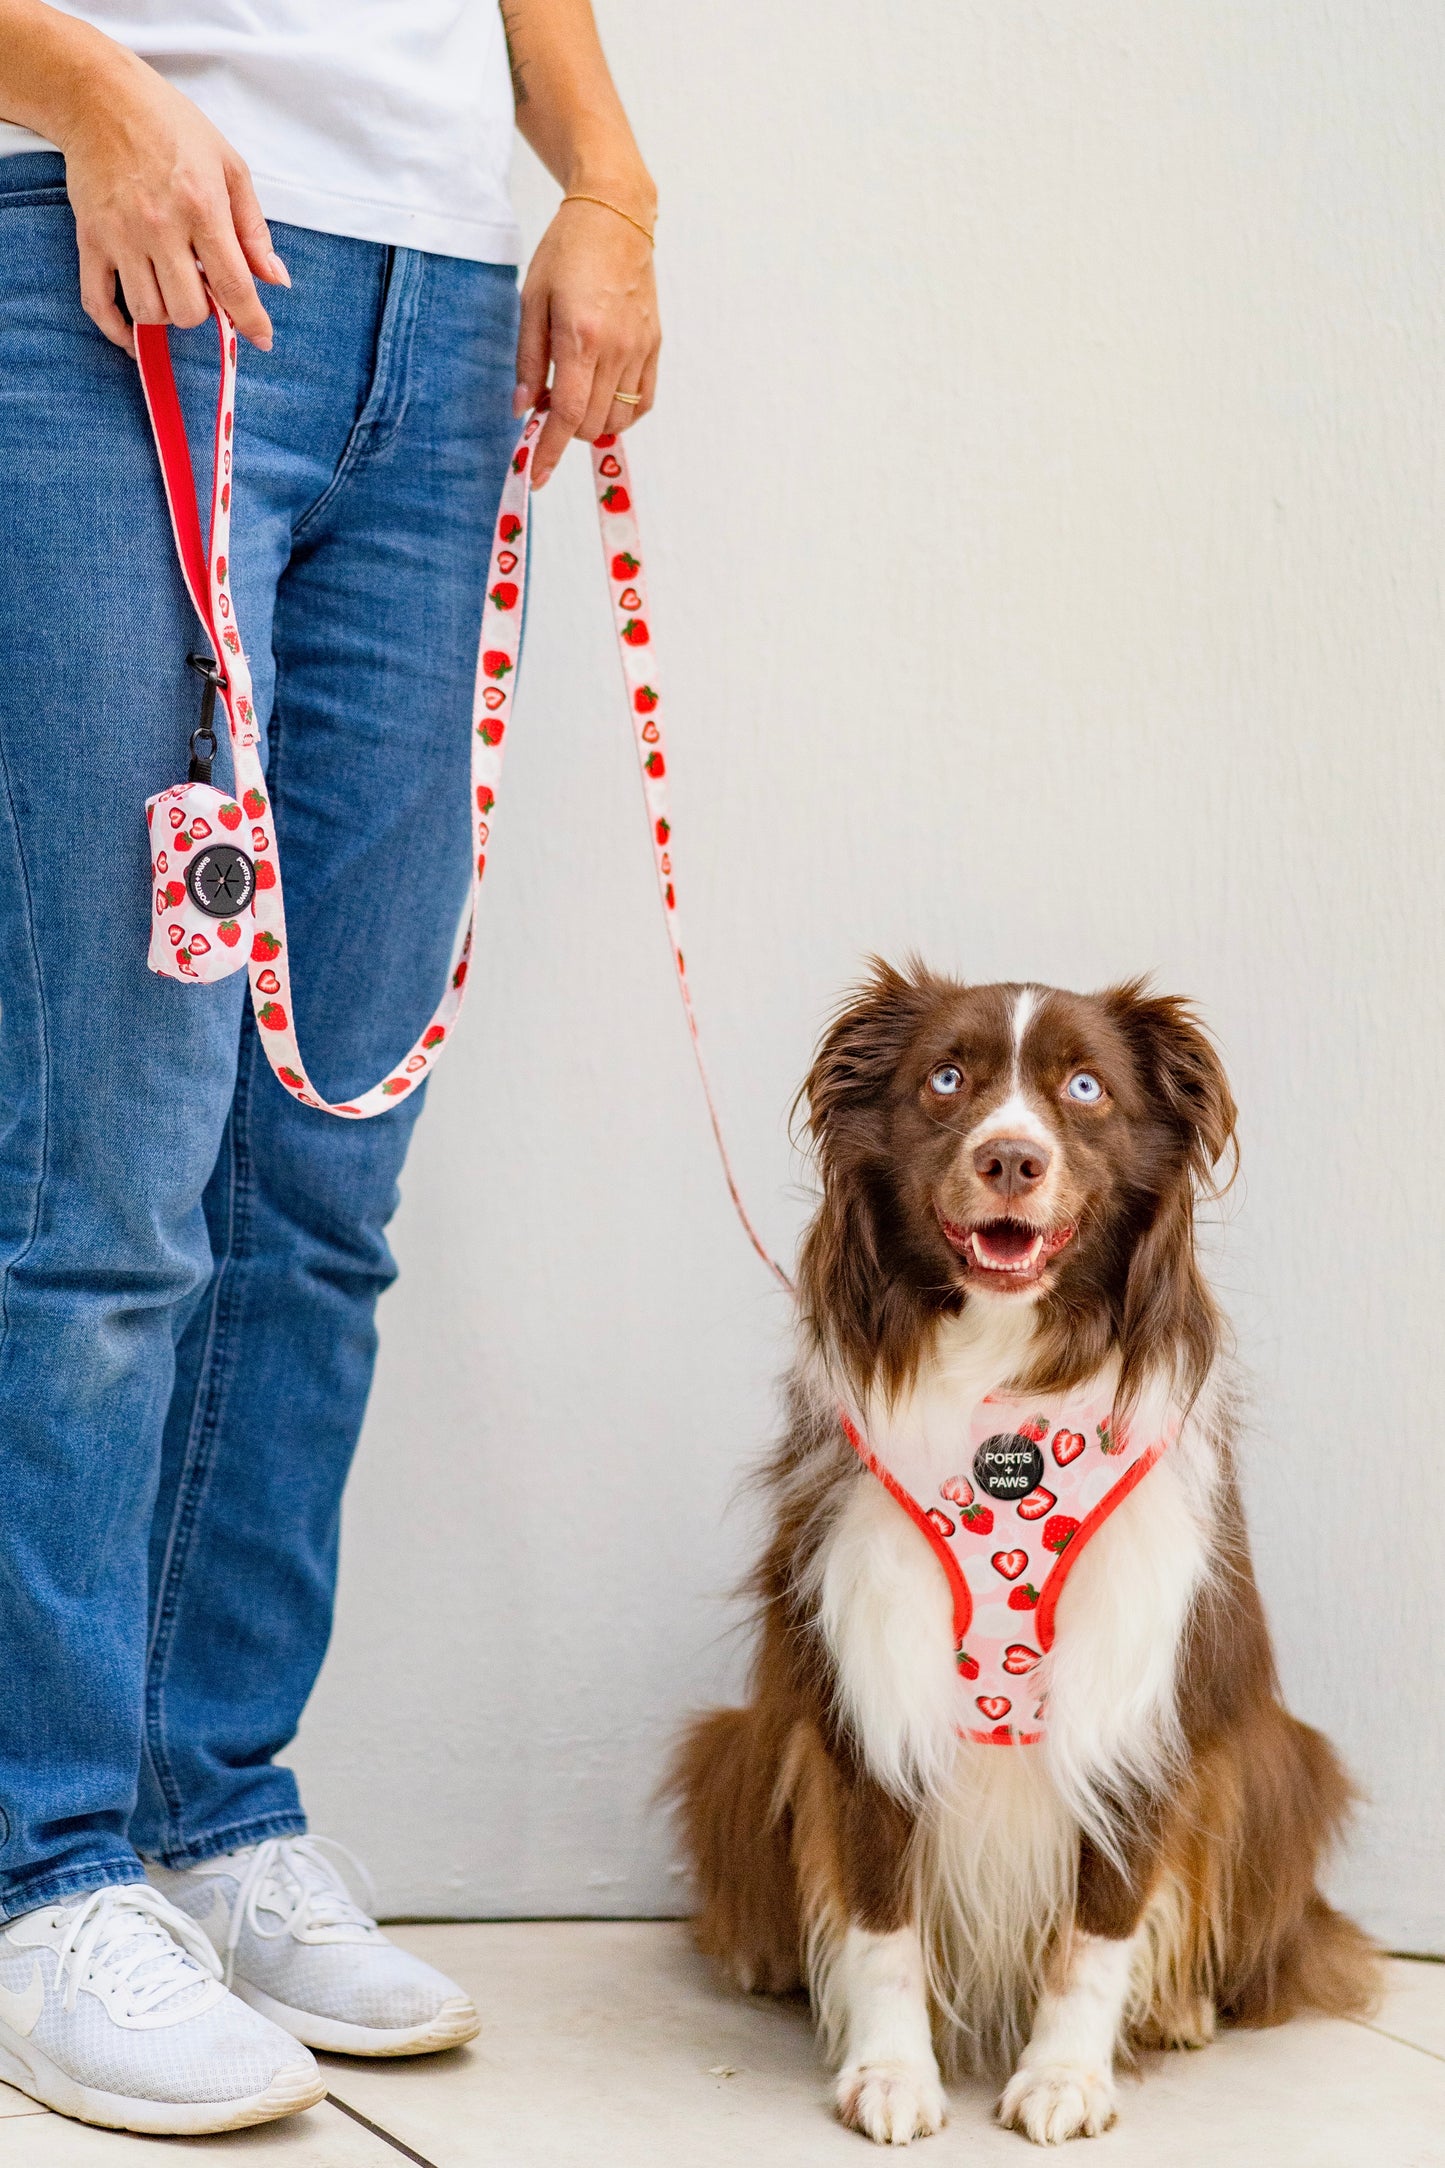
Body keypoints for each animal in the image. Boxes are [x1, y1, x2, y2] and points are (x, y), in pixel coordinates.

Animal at [675, 971, 1377, 2150]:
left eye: (1084, 1088)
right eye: (945, 1078)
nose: (1011, 1158)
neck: (1004, 1386)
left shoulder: (1133, 1689)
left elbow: (1101, 1924)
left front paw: (1063, 2076)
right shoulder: (871, 1680)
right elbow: (879, 1914)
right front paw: (890, 2072)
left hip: (1275, 1762)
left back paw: (1181, 2006)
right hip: (735, 1740)